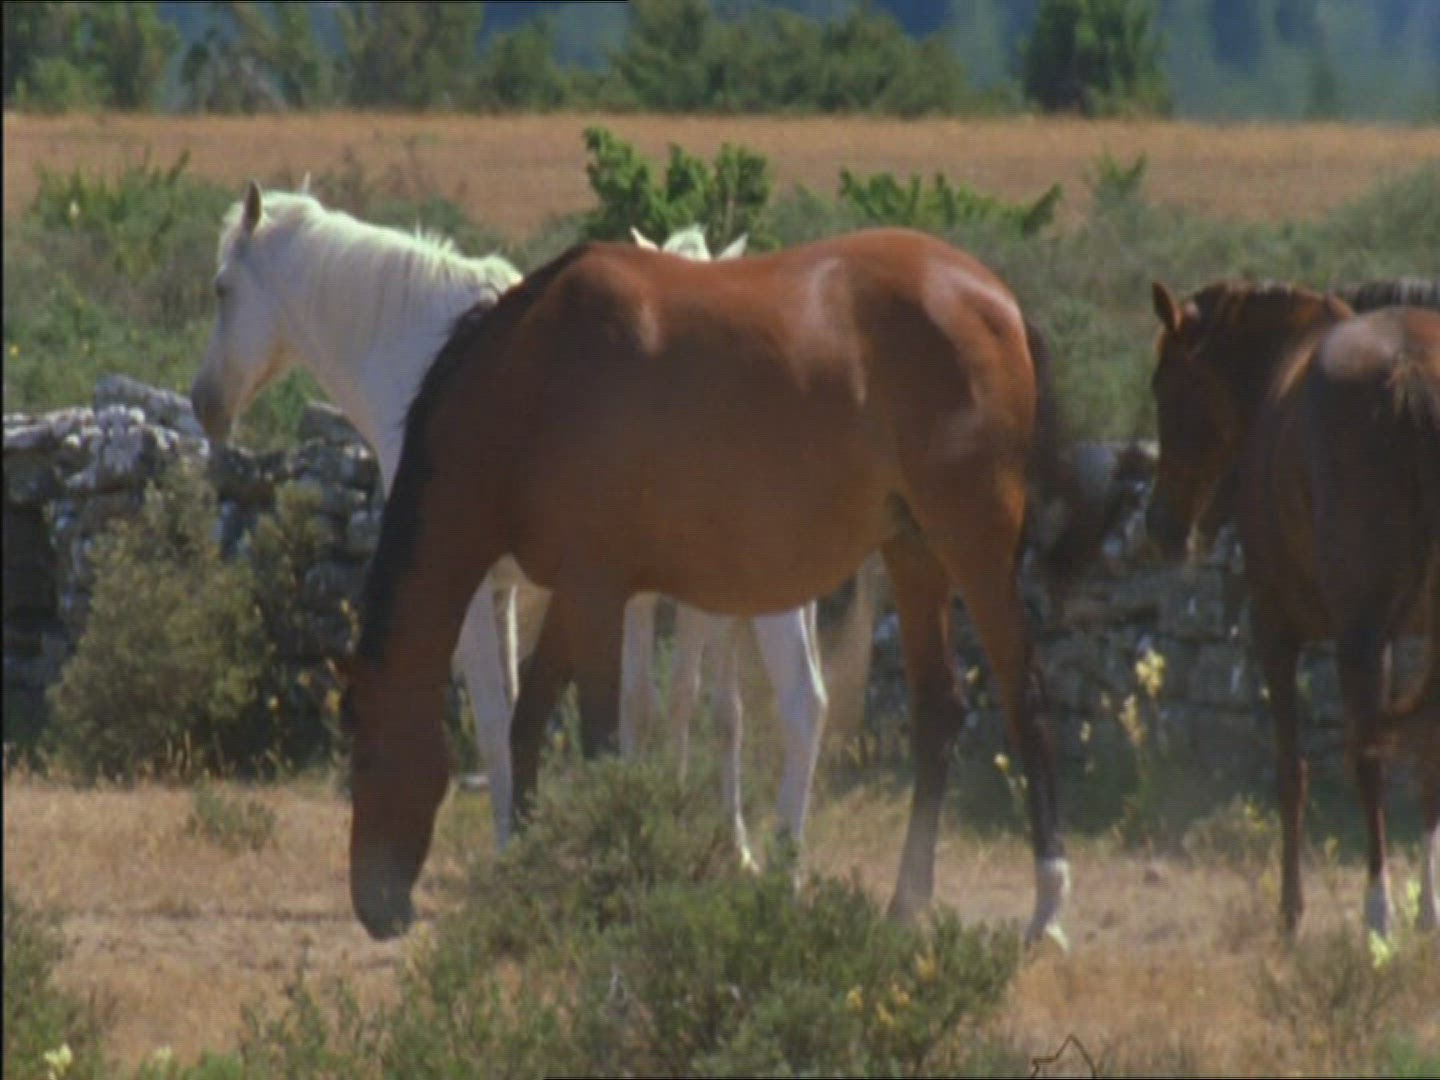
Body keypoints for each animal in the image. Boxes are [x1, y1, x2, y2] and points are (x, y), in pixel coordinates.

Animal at [187, 183, 821, 856]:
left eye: (222, 288)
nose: (204, 404)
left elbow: (492, 719)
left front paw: (506, 846)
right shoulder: (505, 591)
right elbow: (522, 711)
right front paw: (527, 831)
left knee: (802, 706)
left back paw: (783, 861)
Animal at [342, 228, 1088, 943]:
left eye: (367, 761)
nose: (374, 910)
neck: (537, 377)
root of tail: (998, 301)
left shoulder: (597, 595)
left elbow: (601, 742)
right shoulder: (578, 593)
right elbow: (529, 722)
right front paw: (529, 872)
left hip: (974, 543)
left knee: (1025, 699)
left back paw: (1048, 911)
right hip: (914, 552)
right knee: (940, 710)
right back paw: (906, 903)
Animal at [1146, 279, 1440, 937]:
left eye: (1162, 388)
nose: (1158, 526)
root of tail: (1409, 370)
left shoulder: (1275, 629)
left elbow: (1291, 770)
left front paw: (1291, 913)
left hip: (1356, 637)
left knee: (1367, 756)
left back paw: (1377, 912)